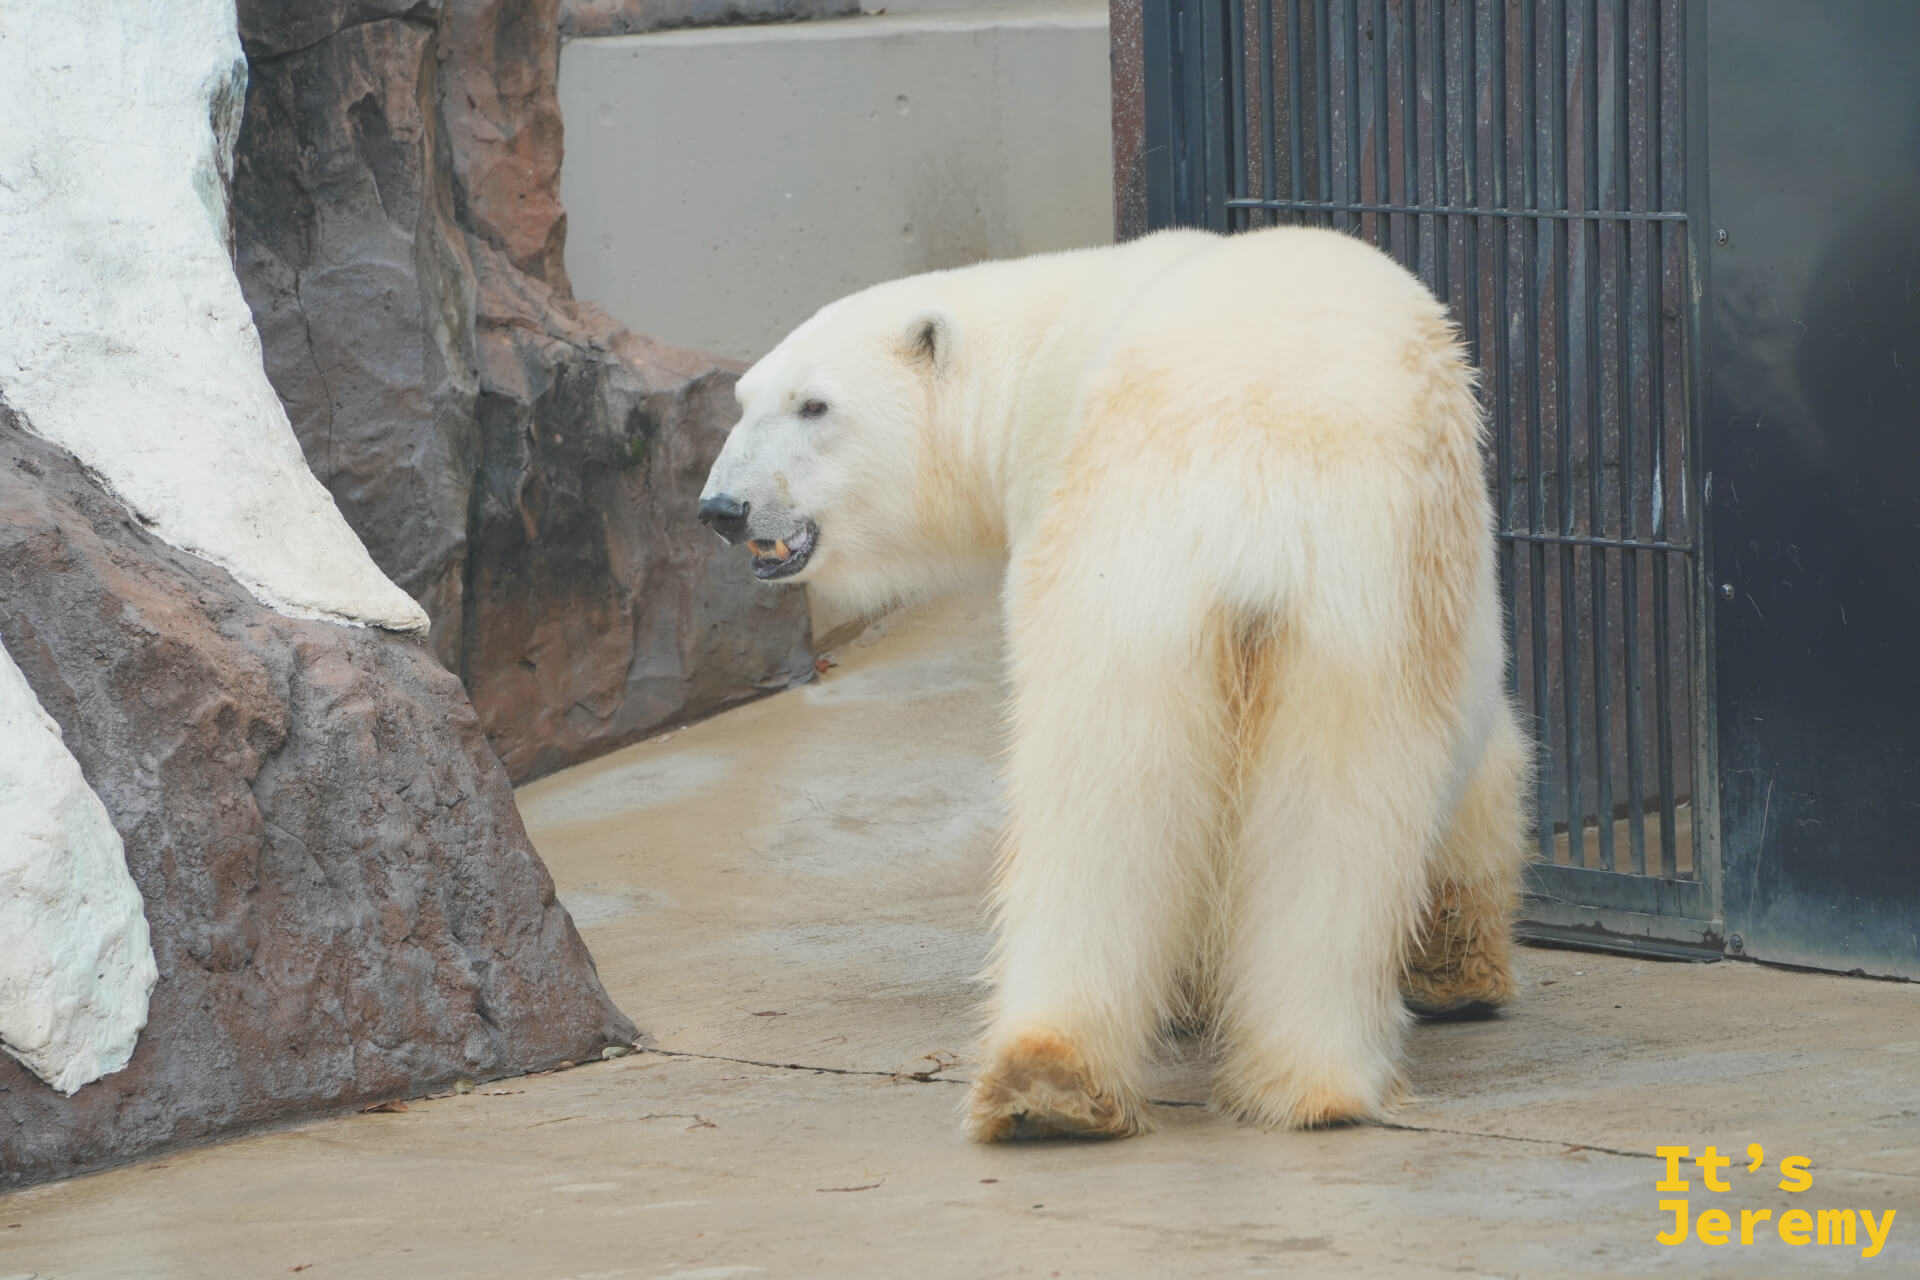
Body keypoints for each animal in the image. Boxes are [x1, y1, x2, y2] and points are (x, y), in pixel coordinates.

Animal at [698, 225, 1528, 1140]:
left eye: (813, 406)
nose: (723, 509)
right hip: (1317, 603)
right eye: (743, 399)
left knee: (1113, 809)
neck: (1033, 347)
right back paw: (1252, 1084)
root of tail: (1257, 491)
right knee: (1300, 813)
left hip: (1161, 570)